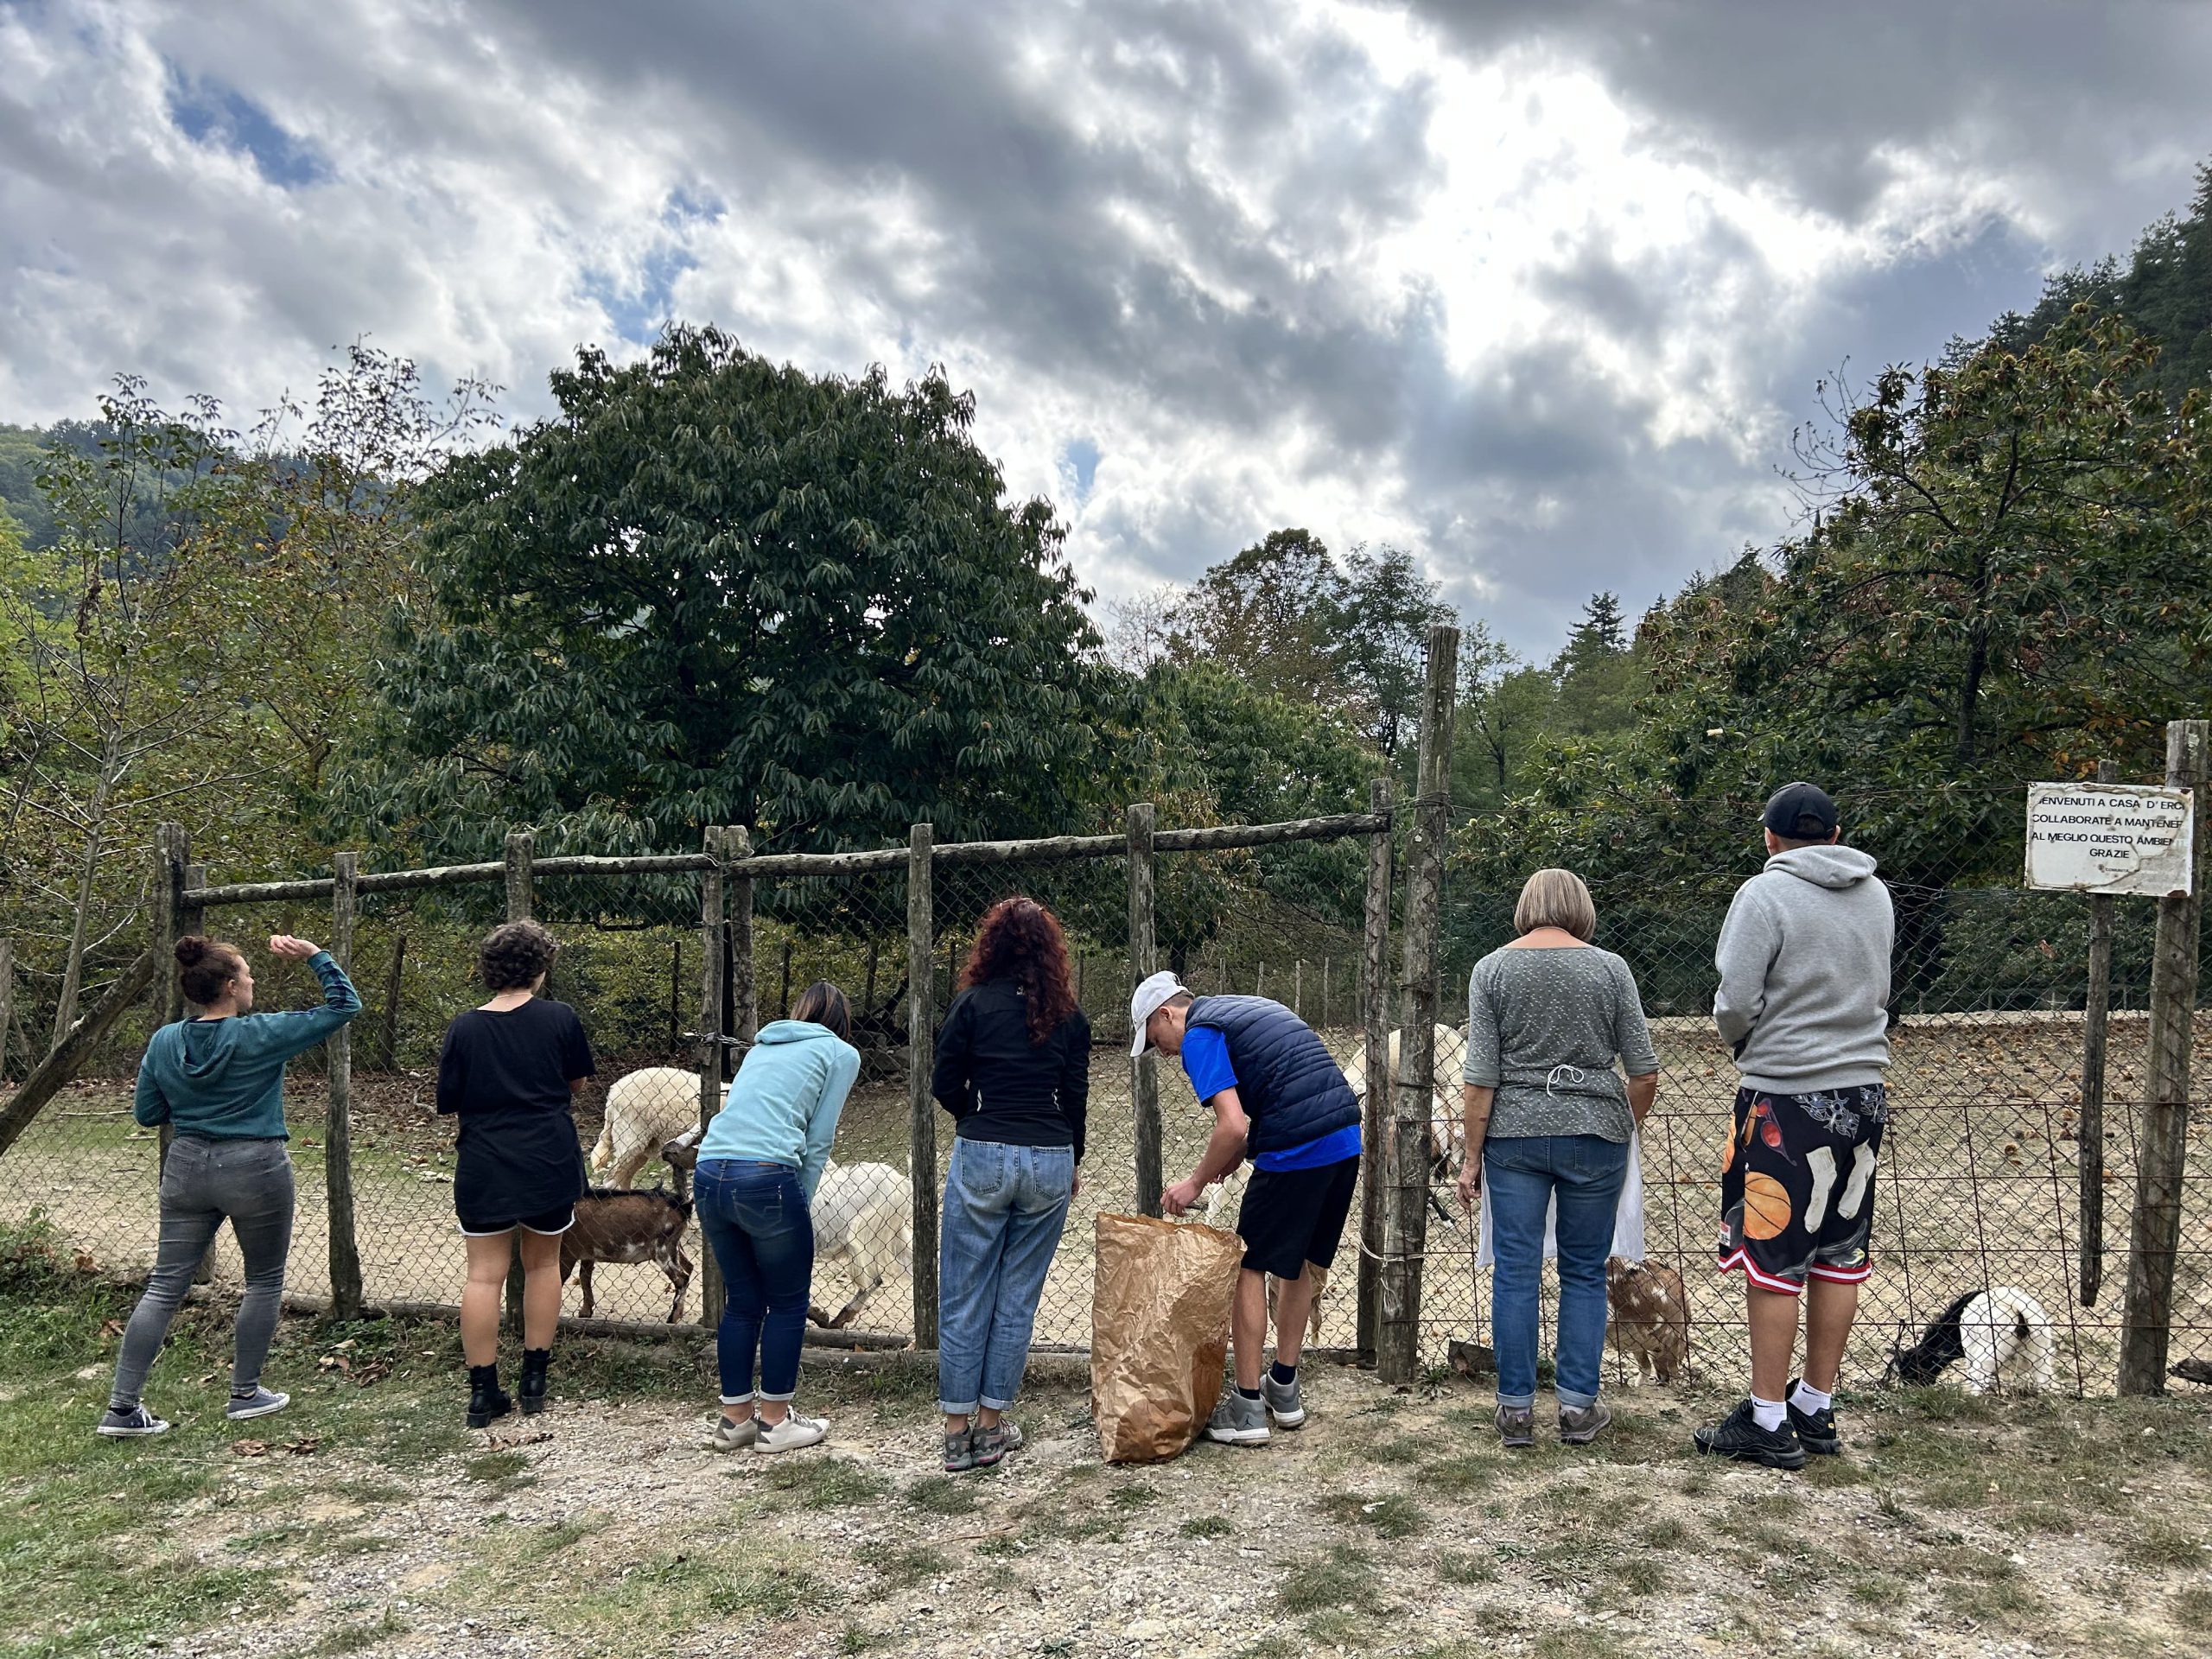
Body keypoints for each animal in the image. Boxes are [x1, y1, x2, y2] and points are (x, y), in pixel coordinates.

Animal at [557, 1132, 694, 1327]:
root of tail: (682, 1204)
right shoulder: (588, 1252)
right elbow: (585, 1277)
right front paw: (585, 1312)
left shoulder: (568, 1252)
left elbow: (560, 1279)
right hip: (674, 1245)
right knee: (689, 1267)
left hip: (662, 1249)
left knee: (682, 1277)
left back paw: (672, 1318)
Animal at [809, 1159, 911, 1336]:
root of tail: (901, 1182)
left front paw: (819, 1315)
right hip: (895, 1235)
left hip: (864, 1231)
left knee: (873, 1280)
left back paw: (839, 1318)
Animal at [1885, 1292, 2052, 1397]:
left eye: (1913, 1368)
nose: (1910, 1386)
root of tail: (2017, 1309)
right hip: (2041, 1350)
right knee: (2044, 1377)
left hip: (1990, 1349)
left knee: (1980, 1375)